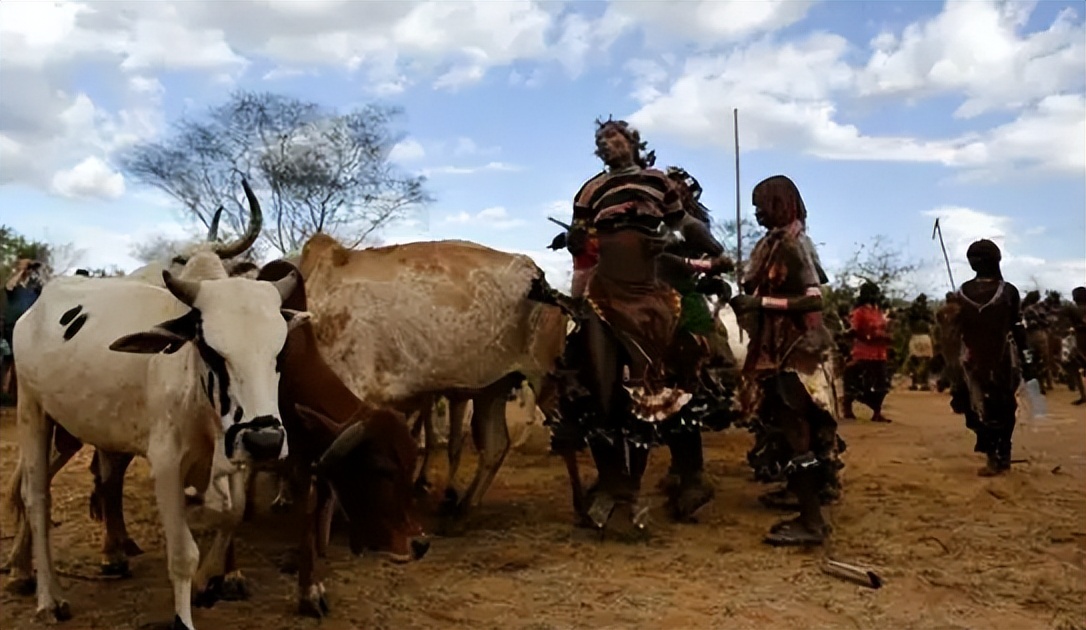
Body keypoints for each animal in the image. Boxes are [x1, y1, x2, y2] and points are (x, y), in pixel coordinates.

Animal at [8, 246, 306, 625]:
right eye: (210, 350)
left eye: (280, 351)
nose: (265, 441)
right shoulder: (167, 466)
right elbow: (182, 555)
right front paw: (184, 616)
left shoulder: (233, 453)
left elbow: (233, 513)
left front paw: (208, 579)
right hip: (31, 409)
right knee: (37, 497)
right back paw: (48, 595)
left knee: (99, 482)